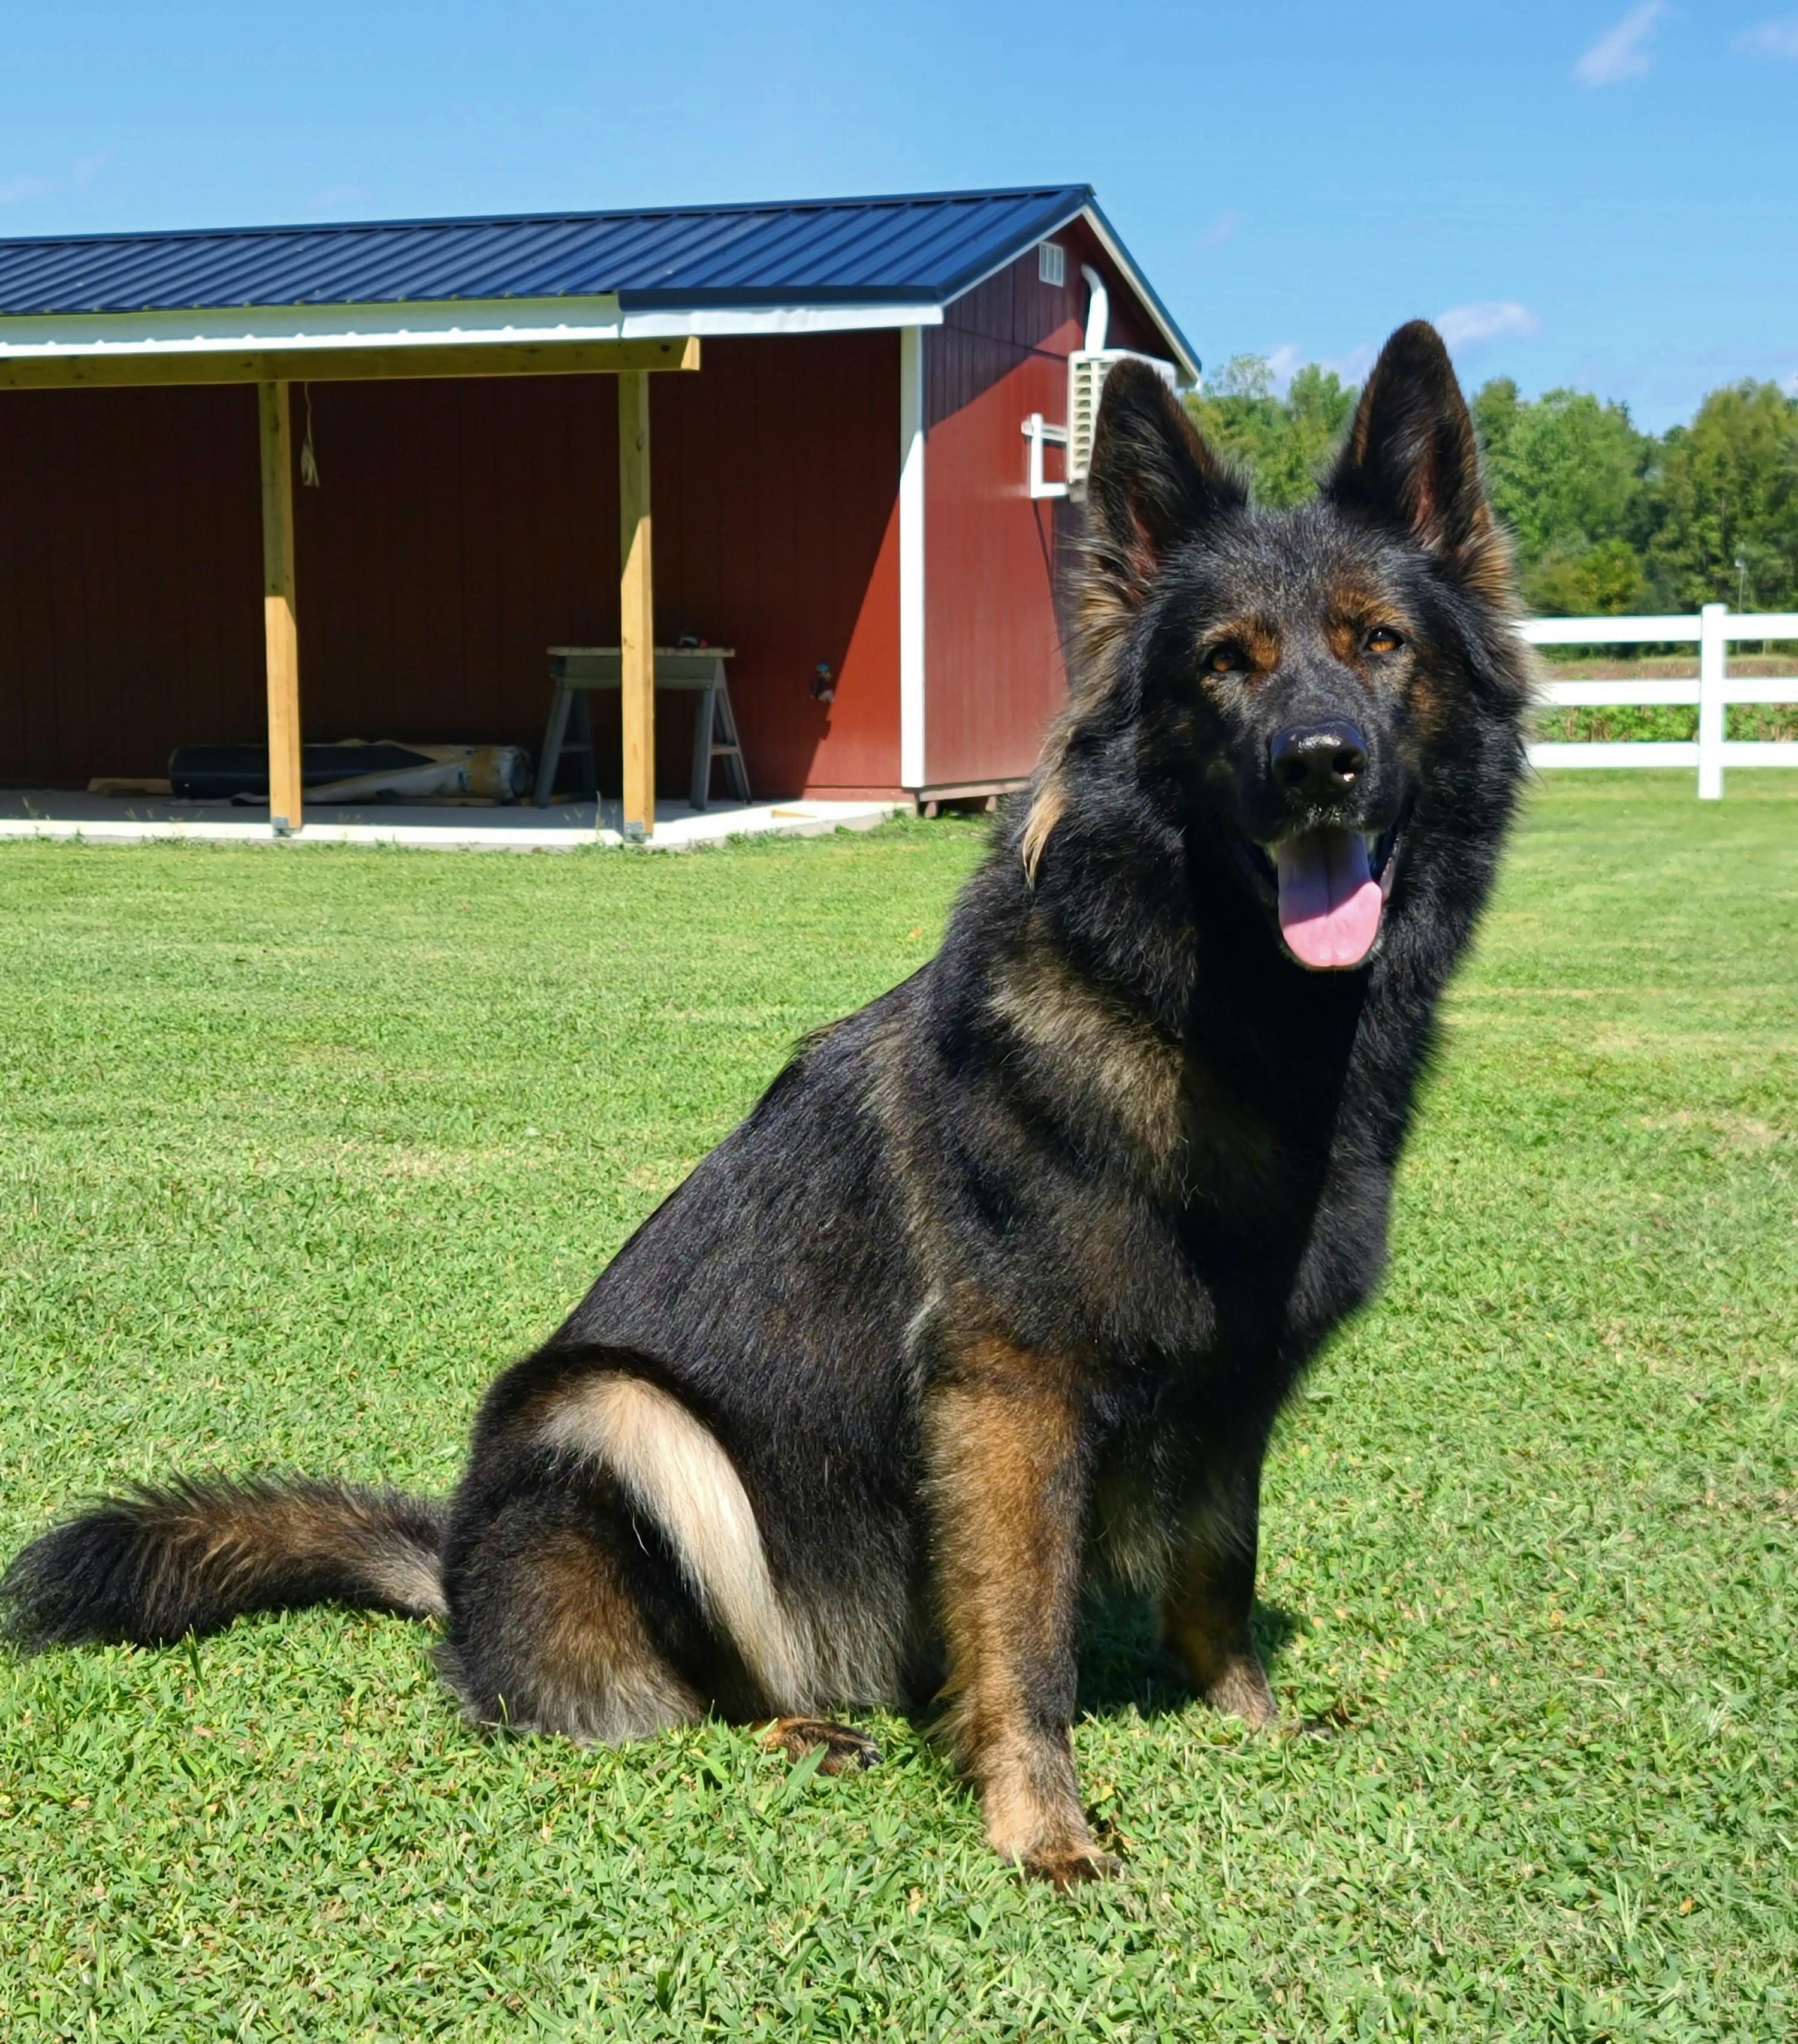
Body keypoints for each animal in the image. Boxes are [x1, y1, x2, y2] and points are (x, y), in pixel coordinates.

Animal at [1, 321, 1531, 1886]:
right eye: (1226, 665)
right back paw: (794, 1731)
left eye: (1377, 645)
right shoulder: (1007, 1397)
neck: (1209, 1012)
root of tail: (455, 1575)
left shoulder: (1240, 1390)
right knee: (674, 1697)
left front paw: (1249, 1724)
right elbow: (1024, 1633)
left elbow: (1218, 1569)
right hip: (622, 1416)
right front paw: (1041, 1824)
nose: (1320, 767)